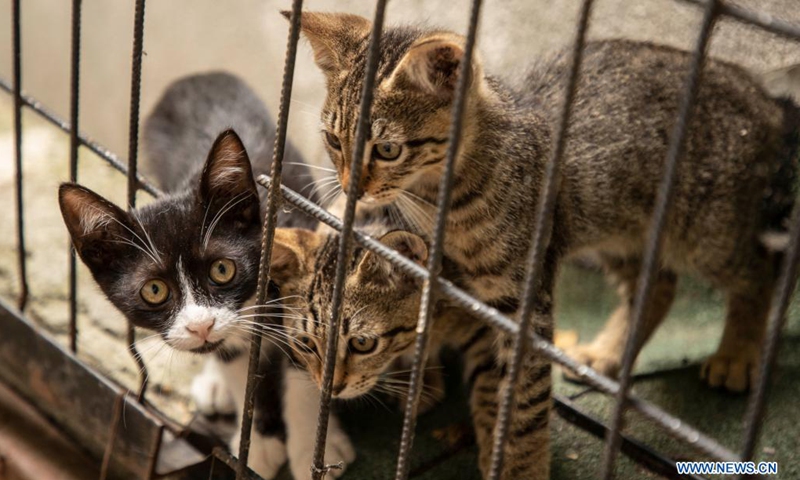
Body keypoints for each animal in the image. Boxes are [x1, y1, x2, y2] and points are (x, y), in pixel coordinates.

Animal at [57, 72, 352, 480]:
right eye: (154, 290)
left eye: (222, 270)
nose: (200, 326)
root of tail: (197, 77)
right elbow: (237, 366)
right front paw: (256, 445)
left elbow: (306, 373)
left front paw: (313, 451)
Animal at [290, 11, 796, 480]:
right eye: (333, 141)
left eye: (388, 150)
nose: (350, 188)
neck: (444, 202)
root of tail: (761, 95)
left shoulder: (521, 304)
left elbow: (523, 400)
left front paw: (520, 465)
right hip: (613, 226)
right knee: (659, 285)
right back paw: (609, 352)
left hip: (707, 228)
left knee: (761, 269)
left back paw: (736, 354)